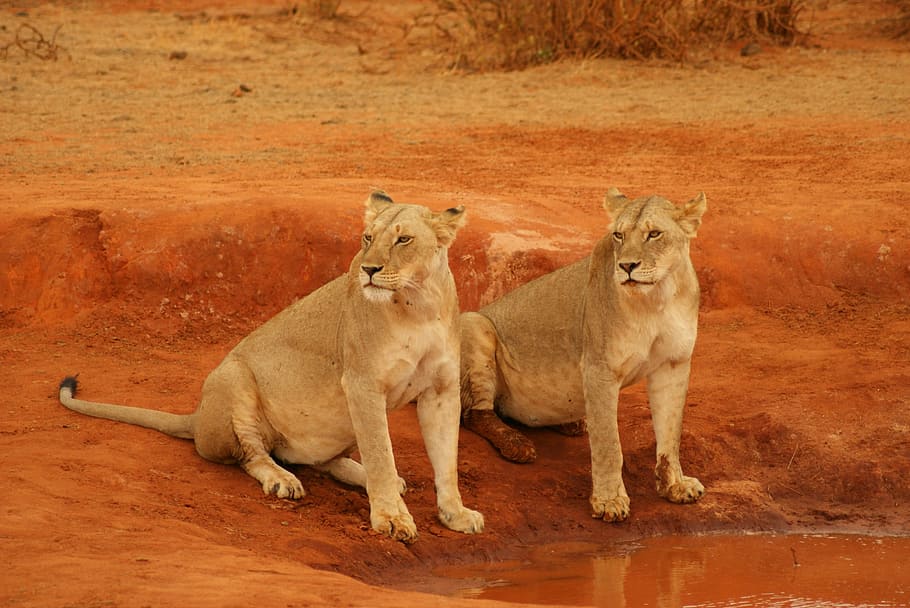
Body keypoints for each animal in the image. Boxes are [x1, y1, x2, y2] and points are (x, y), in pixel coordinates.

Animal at [59, 190, 484, 543]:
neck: (418, 303)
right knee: (252, 454)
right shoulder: (362, 384)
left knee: (327, 460)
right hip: (232, 379)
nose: (369, 270)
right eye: (367, 238)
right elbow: (380, 451)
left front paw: (456, 515)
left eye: (403, 239)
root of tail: (196, 417)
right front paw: (392, 519)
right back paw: (284, 480)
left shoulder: (442, 390)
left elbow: (445, 459)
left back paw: (386, 481)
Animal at [460, 188, 707, 522]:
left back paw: (571, 423)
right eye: (618, 235)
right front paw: (610, 501)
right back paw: (517, 446)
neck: (657, 298)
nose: (627, 266)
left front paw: (676, 486)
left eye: (654, 234)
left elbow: (670, 434)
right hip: (475, 324)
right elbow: (608, 444)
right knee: (475, 413)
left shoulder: (673, 364)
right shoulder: (599, 369)